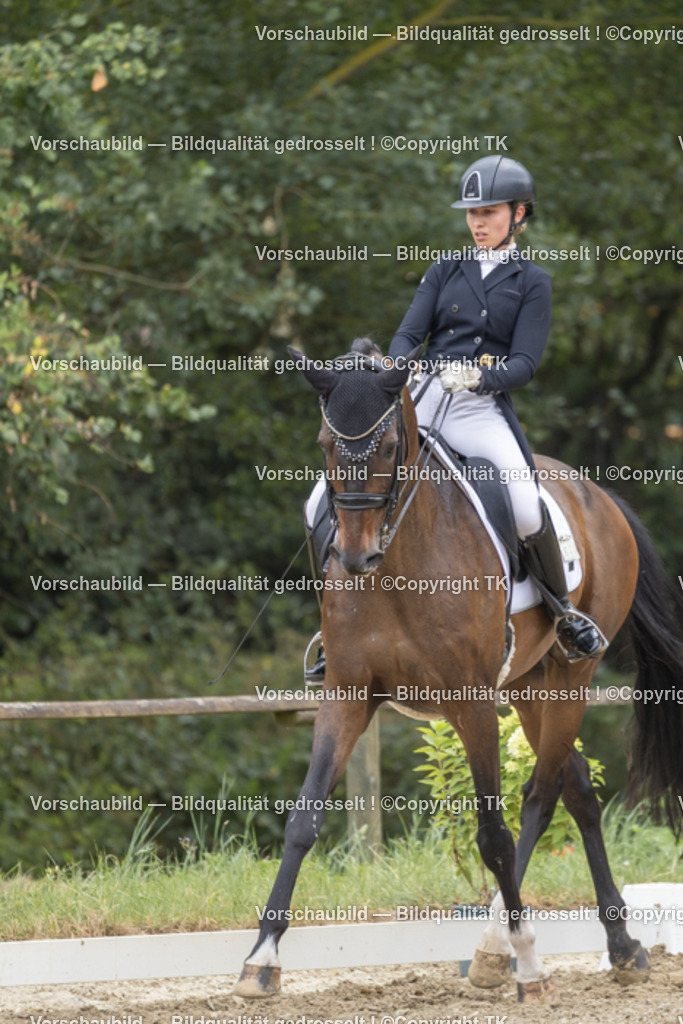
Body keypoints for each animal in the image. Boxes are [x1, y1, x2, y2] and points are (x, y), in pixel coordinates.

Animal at [234, 340, 683, 1003]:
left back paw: (504, 949)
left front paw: (530, 964)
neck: (397, 566)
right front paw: (260, 959)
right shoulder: (347, 694)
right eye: (323, 444)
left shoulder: (471, 703)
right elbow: (303, 819)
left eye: (389, 448)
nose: (355, 556)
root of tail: (596, 493)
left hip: (571, 677)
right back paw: (617, 946)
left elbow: (493, 833)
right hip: (527, 684)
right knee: (576, 787)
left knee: (542, 794)